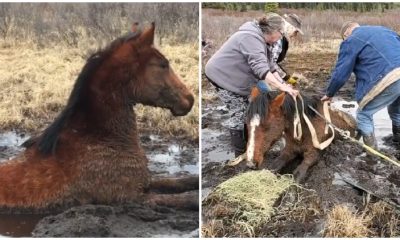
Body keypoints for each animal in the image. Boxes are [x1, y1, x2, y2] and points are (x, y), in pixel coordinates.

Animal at [0, 22, 198, 210]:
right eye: (163, 64)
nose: (189, 99)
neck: (97, 139)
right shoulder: (133, 198)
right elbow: (187, 200)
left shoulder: (146, 183)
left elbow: (181, 182)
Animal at [228, 87, 356, 183]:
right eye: (247, 123)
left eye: (266, 126)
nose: (251, 163)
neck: (303, 130)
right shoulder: (289, 150)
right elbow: (274, 166)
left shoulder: (314, 154)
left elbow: (298, 175)